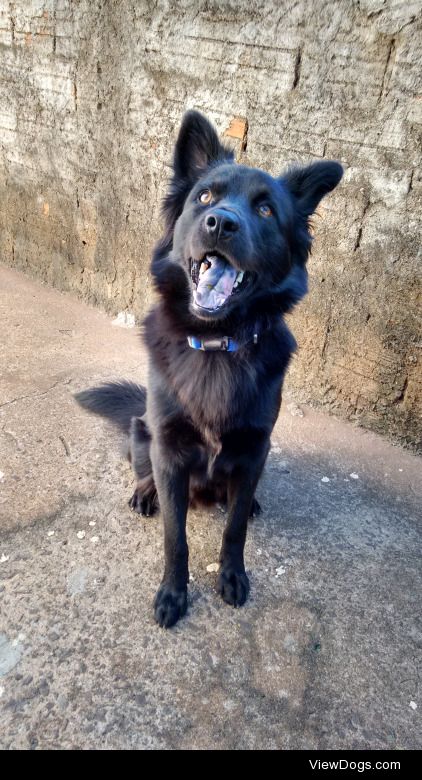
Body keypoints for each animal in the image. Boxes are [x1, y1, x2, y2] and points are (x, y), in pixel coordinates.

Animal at [76, 111, 342, 628]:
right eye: (204, 198)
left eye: (266, 211)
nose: (220, 222)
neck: (218, 343)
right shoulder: (170, 449)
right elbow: (174, 538)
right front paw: (173, 593)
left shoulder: (256, 446)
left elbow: (234, 529)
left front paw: (232, 574)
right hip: (143, 430)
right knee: (143, 468)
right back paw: (145, 493)